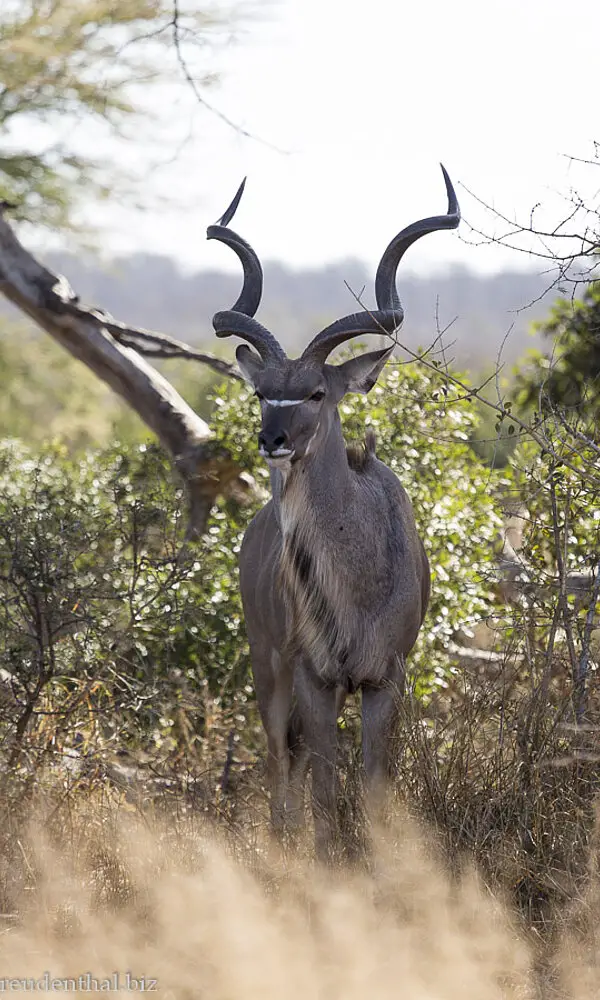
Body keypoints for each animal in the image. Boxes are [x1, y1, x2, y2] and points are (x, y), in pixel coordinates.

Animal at [209, 168, 462, 856]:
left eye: (317, 391)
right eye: (263, 392)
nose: (272, 439)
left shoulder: (383, 681)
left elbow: (372, 795)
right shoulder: (314, 679)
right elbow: (324, 798)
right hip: (267, 667)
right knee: (280, 770)